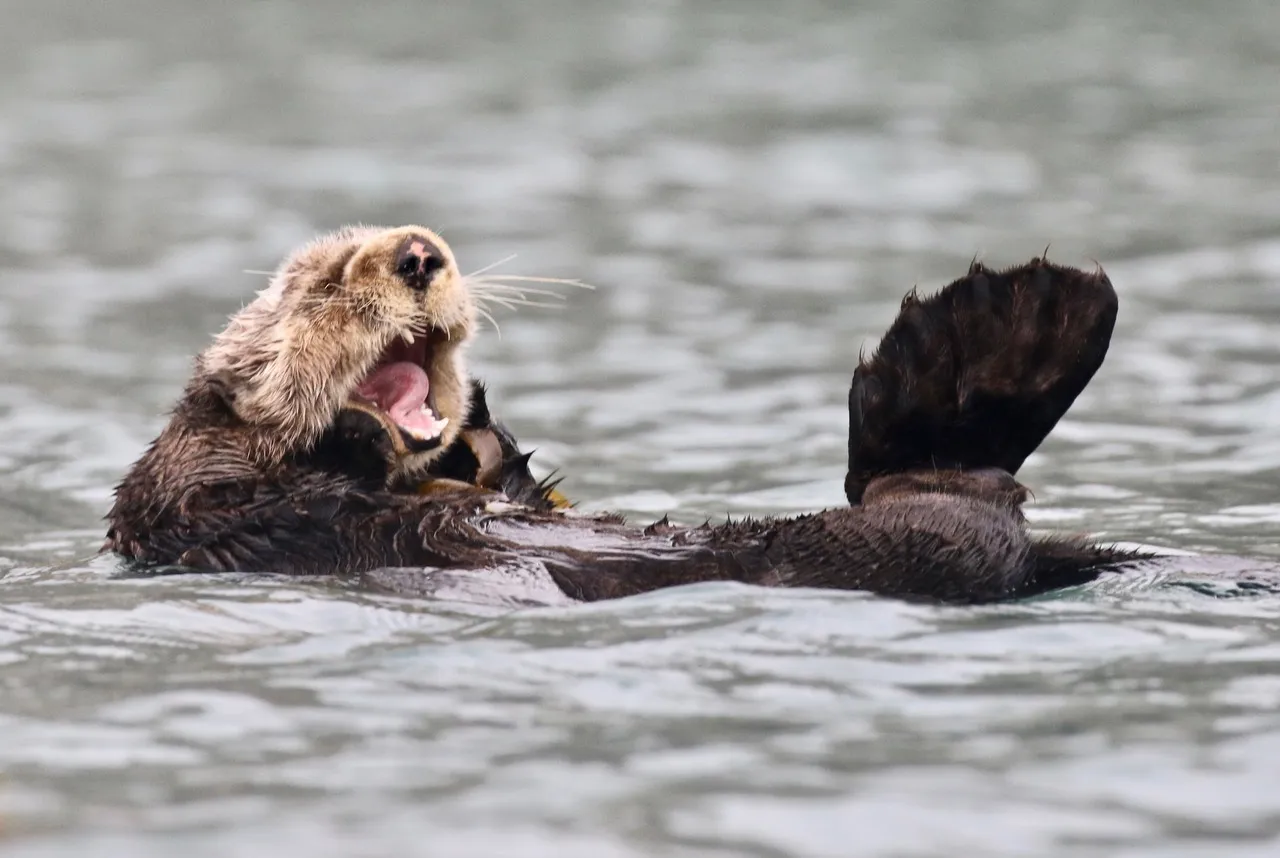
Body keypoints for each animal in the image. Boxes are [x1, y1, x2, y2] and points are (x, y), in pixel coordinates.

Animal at [105, 224, 1151, 604]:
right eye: (323, 280)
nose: (417, 253)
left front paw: (482, 439)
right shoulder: (194, 494)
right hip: (891, 542)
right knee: (947, 500)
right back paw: (995, 338)